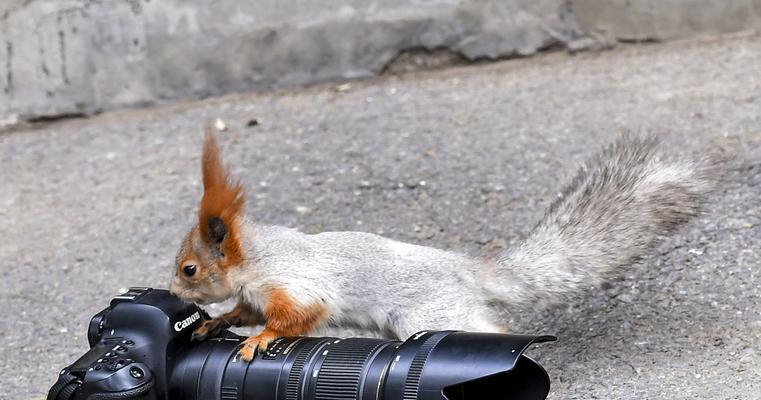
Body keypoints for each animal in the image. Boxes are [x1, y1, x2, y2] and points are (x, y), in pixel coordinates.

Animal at [168, 129, 720, 362]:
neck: (255, 258)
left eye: (190, 269)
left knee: (489, 329)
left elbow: (298, 316)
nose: (171, 292)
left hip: (431, 314)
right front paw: (217, 322)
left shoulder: (294, 282)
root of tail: (467, 271)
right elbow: (243, 311)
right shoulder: (255, 292)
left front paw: (260, 340)